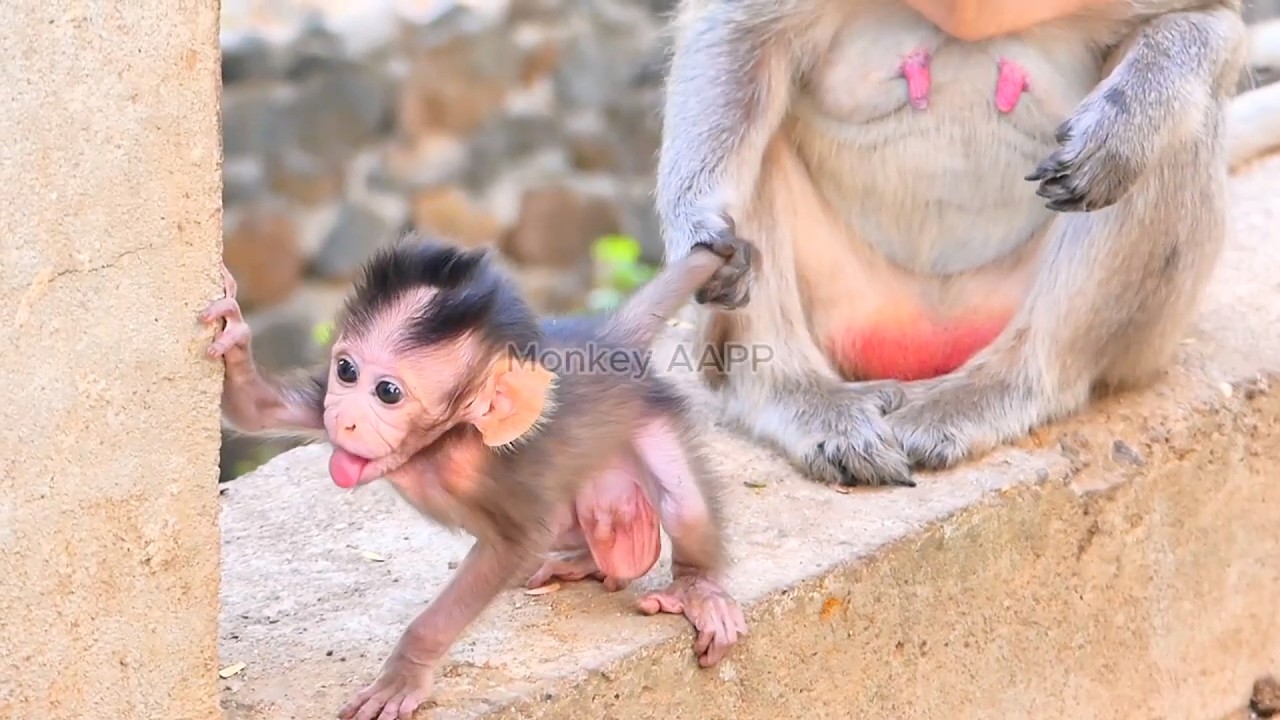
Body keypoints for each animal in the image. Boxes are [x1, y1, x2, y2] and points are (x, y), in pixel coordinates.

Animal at [199, 233, 755, 720]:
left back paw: (697, 590)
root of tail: (607, 340)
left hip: (649, 417)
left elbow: (518, 544)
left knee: (682, 506)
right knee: (569, 523)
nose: (344, 419)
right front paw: (232, 334)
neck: (439, 446)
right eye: (346, 371)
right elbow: (255, 410)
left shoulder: (505, 473)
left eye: (388, 392)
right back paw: (582, 560)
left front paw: (405, 674)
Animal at [654, 0, 1259, 488]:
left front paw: (1120, 132)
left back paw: (1007, 385)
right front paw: (698, 225)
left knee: (1183, 128)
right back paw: (792, 392)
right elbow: (738, 34)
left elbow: (1208, 20)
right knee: (761, 128)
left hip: (1138, 338)